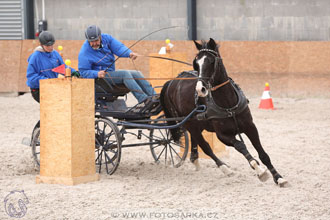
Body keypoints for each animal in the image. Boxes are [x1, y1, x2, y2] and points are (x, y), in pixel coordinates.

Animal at [160, 38, 288, 187]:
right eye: (196, 63)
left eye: (211, 61)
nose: (200, 89)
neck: (228, 105)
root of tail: (171, 81)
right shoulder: (222, 135)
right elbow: (240, 146)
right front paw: (259, 170)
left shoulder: (250, 127)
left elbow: (263, 154)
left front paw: (278, 177)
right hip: (189, 124)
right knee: (205, 146)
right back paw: (225, 168)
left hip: (197, 124)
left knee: (195, 141)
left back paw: (195, 160)